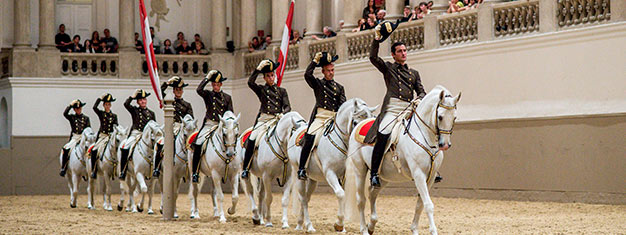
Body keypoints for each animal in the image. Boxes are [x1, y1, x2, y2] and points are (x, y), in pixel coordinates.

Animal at [288, 98, 376, 233]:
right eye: (355, 122)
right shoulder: (330, 173)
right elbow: (340, 194)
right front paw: (339, 224)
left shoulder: (343, 176)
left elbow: (343, 195)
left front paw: (341, 226)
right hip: (299, 174)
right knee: (302, 198)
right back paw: (309, 226)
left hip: (312, 179)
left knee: (306, 198)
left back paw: (300, 224)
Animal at [346, 85, 458, 234]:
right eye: (440, 117)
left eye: (455, 117)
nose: (445, 145)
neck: (423, 135)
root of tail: (359, 125)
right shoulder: (419, 174)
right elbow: (428, 205)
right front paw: (433, 231)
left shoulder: (431, 177)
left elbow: (420, 205)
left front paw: (414, 230)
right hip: (360, 169)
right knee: (361, 199)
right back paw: (364, 229)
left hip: (384, 176)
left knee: (372, 193)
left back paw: (371, 225)